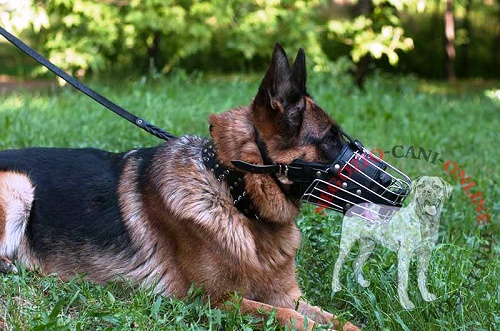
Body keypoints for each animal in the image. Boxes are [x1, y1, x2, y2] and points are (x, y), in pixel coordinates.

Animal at [0, 45, 360, 330]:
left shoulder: (286, 295)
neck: (230, 191)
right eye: (330, 140)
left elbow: (338, 320)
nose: (383, 185)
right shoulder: (212, 301)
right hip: (20, 185)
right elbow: (294, 319)